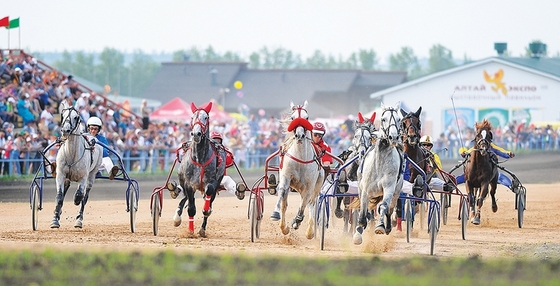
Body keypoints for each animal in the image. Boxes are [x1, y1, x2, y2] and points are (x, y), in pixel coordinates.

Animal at [270, 100, 324, 239]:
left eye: (307, 118)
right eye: (293, 118)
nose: (299, 135)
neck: (301, 159)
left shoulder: (309, 186)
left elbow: (304, 203)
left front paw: (297, 221)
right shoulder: (286, 177)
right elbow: (282, 194)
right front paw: (276, 216)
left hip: (317, 183)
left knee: (311, 202)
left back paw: (309, 230)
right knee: (286, 203)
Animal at [352, 101, 404, 245]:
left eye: (399, 119)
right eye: (383, 119)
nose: (393, 137)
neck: (380, 162)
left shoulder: (389, 187)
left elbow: (383, 206)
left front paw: (380, 226)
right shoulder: (365, 189)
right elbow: (363, 212)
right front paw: (358, 232)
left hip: (396, 191)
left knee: (389, 208)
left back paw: (388, 226)